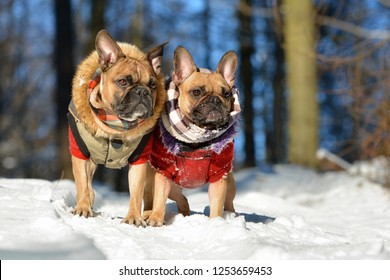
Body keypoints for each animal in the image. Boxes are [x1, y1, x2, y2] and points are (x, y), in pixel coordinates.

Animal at [68, 30, 166, 225]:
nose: (142, 91)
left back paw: (149, 215)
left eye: (153, 85)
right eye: (123, 82)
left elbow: (136, 191)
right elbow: (82, 184)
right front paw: (82, 208)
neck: (115, 127)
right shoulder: (80, 154)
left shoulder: (140, 160)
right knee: (88, 185)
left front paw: (134, 218)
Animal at [145, 45, 239, 225]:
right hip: (171, 185)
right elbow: (159, 198)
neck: (196, 140)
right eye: (196, 92)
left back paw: (230, 216)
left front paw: (216, 223)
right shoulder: (163, 172)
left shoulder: (219, 175)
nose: (215, 100)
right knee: (180, 198)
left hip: (229, 182)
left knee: (228, 202)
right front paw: (155, 219)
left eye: (226, 94)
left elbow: (217, 203)